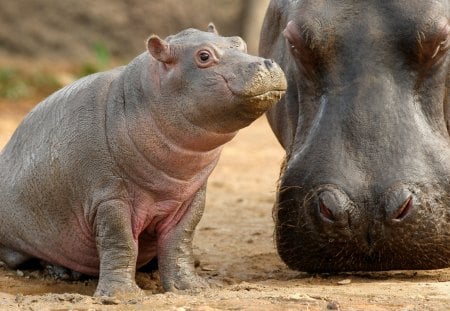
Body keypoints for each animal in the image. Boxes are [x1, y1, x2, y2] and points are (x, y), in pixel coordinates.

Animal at [0, 25, 286, 298]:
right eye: (203, 56)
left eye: (240, 42)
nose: (266, 63)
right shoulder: (108, 197)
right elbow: (120, 242)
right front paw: (121, 294)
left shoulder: (190, 198)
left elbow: (180, 241)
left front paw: (191, 287)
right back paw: (63, 272)